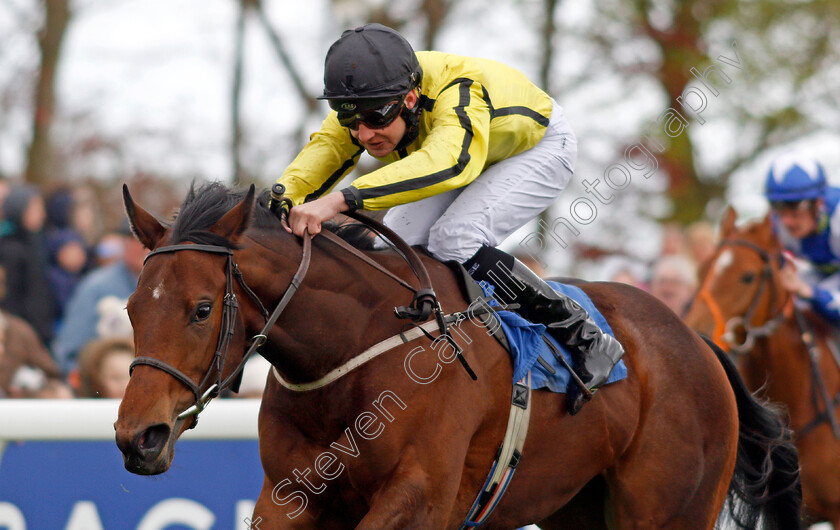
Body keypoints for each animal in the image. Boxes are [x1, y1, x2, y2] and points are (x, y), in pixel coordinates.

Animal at [115, 183, 796, 528]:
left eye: (202, 309)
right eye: (131, 308)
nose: (138, 437)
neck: (357, 348)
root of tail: (698, 341)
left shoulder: (420, 497)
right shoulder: (291, 494)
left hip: (669, 510)